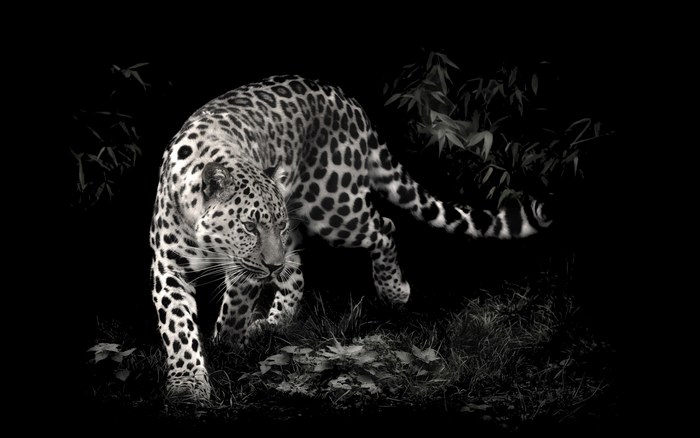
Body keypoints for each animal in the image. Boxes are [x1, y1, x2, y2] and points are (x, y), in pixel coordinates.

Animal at [149, 75, 551, 402]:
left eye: (273, 226)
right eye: (250, 226)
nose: (271, 265)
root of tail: (349, 101)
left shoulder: (247, 267)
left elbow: (235, 306)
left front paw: (227, 344)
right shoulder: (168, 268)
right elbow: (179, 327)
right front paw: (188, 382)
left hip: (334, 208)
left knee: (383, 227)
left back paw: (393, 291)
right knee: (297, 267)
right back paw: (275, 322)